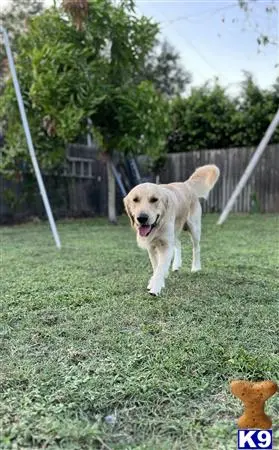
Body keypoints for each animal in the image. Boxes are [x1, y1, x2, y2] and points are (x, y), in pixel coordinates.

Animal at [124, 165, 221, 296]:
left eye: (154, 199)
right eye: (135, 200)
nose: (142, 218)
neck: (158, 226)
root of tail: (186, 184)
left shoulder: (166, 244)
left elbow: (160, 267)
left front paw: (155, 287)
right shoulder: (152, 246)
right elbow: (156, 266)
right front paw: (156, 281)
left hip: (194, 228)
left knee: (196, 248)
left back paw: (196, 267)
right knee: (178, 243)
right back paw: (176, 265)